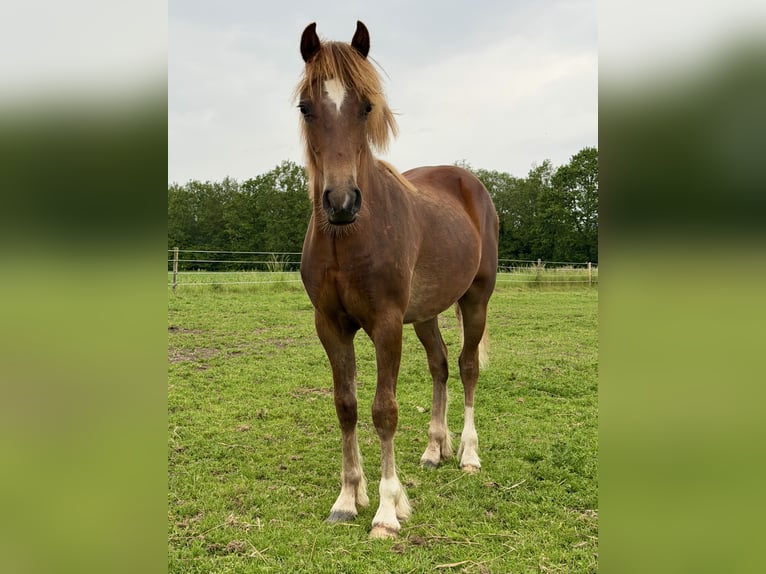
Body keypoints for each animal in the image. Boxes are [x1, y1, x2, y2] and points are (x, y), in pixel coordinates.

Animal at [296, 21, 499, 539]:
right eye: (306, 107)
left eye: (366, 106)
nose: (341, 202)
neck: (347, 238)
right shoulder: (330, 325)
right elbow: (346, 406)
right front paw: (348, 498)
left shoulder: (386, 324)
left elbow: (383, 410)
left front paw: (388, 510)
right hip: (424, 314)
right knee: (441, 365)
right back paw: (434, 449)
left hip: (475, 299)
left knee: (467, 367)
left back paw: (467, 454)